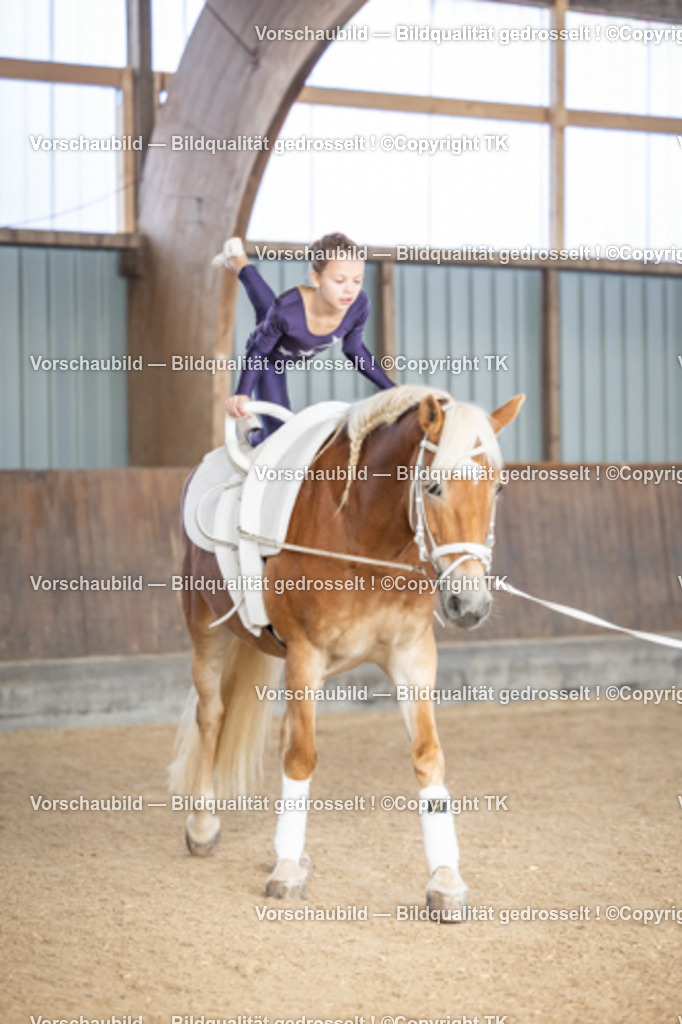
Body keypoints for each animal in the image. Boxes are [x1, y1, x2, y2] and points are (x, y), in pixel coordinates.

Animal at [169, 384, 523, 918]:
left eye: (498, 489)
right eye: (433, 486)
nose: (470, 605)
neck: (364, 536)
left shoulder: (413, 657)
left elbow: (428, 756)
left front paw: (446, 881)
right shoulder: (306, 654)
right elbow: (302, 758)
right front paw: (286, 875)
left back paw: (286, 846)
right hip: (207, 627)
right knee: (212, 716)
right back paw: (204, 826)